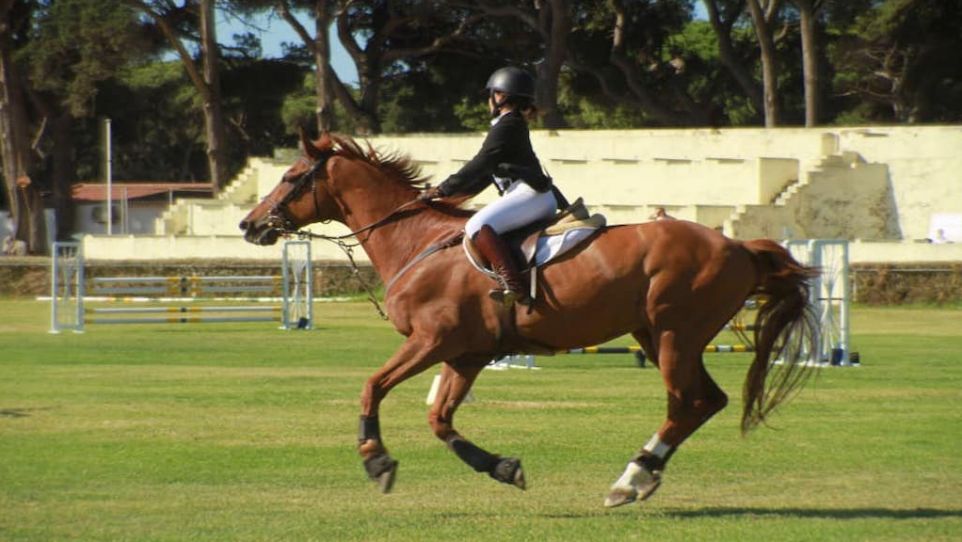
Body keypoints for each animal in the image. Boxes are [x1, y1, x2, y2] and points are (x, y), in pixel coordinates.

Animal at [240, 133, 816, 510]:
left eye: (290, 178)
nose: (249, 224)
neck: (415, 240)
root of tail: (738, 244)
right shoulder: (465, 354)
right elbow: (439, 419)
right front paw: (503, 467)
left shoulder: (431, 341)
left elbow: (372, 387)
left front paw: (376, 461)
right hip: (659, 336)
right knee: (706, 401)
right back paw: (641, 475)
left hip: (675, 334)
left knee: (685, 403)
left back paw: (631, 480)